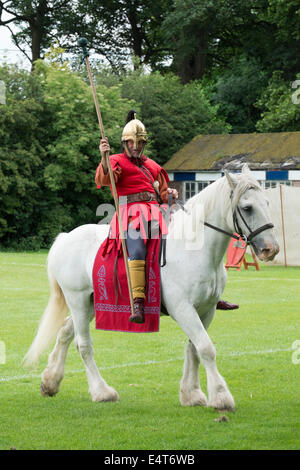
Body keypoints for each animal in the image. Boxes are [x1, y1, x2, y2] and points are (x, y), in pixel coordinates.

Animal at [22, 165, 278, 412]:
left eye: (267, 203)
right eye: (247, 208)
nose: (271, 249)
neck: (193, 249)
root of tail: (65, 238)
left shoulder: (206, 310)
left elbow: (194, 348)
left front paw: (191, 394)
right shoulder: (183, 309)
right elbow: (205, 348)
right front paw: (221, 397)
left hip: (90, 304)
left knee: (65, 332)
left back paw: (50, 381)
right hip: (77, 300)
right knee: (83, 344)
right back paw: (101, 391)